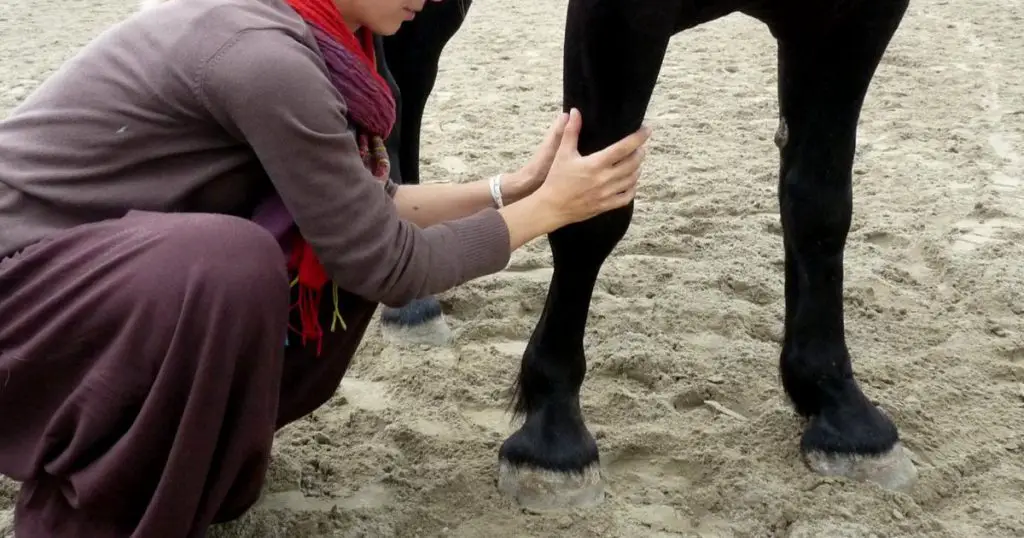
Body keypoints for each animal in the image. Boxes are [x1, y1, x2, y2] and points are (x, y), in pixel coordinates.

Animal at [377, 0, 919, 511]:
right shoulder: (619, 16)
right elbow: (590, 215)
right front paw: (553, 433)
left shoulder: (853, 21)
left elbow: (818, 205)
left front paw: (839, 406)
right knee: (404, 82)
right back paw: (411, 300)